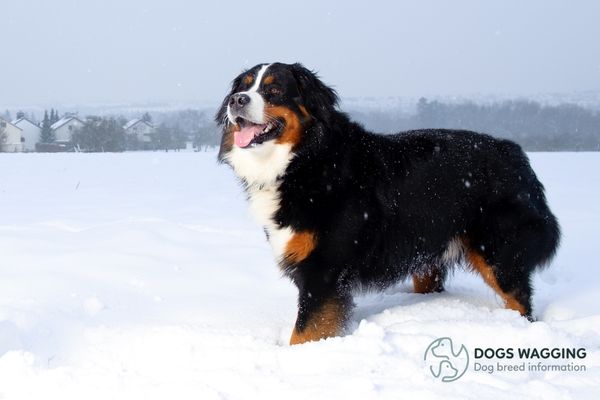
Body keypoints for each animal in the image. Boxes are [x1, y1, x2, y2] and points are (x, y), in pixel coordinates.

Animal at [214, 61, 556, 344]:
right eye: (243, 86)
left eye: (273, 90)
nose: (237, 100)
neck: (305, 161)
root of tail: (514, 152)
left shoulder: (324, 270)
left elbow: (305, 332)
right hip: (427, 256)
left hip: (498, 252)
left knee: (520, 300)